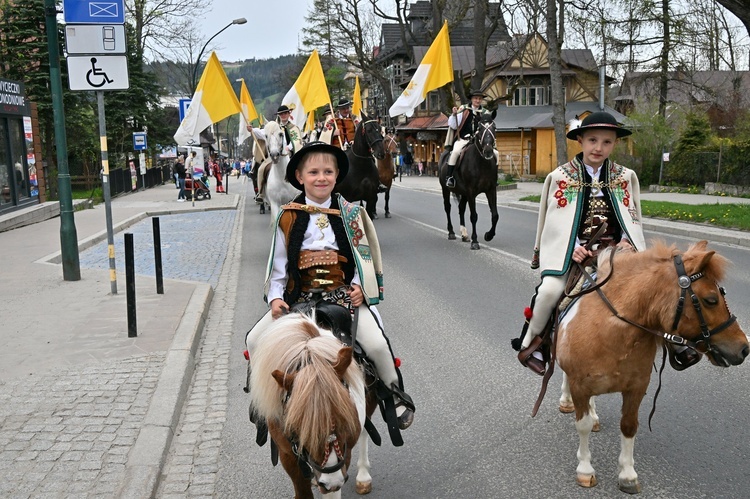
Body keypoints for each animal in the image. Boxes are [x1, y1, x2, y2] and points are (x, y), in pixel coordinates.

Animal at [251, 314, 382, 498]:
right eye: (296, 425)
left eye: (346, 417)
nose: (331, 482)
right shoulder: (288, 456)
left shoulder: (345, 453)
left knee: (365, 430)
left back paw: (363, 476)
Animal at [556, 240, 748, 494]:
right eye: (710, 299)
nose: (744, 348)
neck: (611, 331)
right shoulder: (580, 385)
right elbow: (583, 425)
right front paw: (585, 470)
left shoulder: (637, 387)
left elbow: (629, 426)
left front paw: (627, 475)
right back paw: (566, 401)